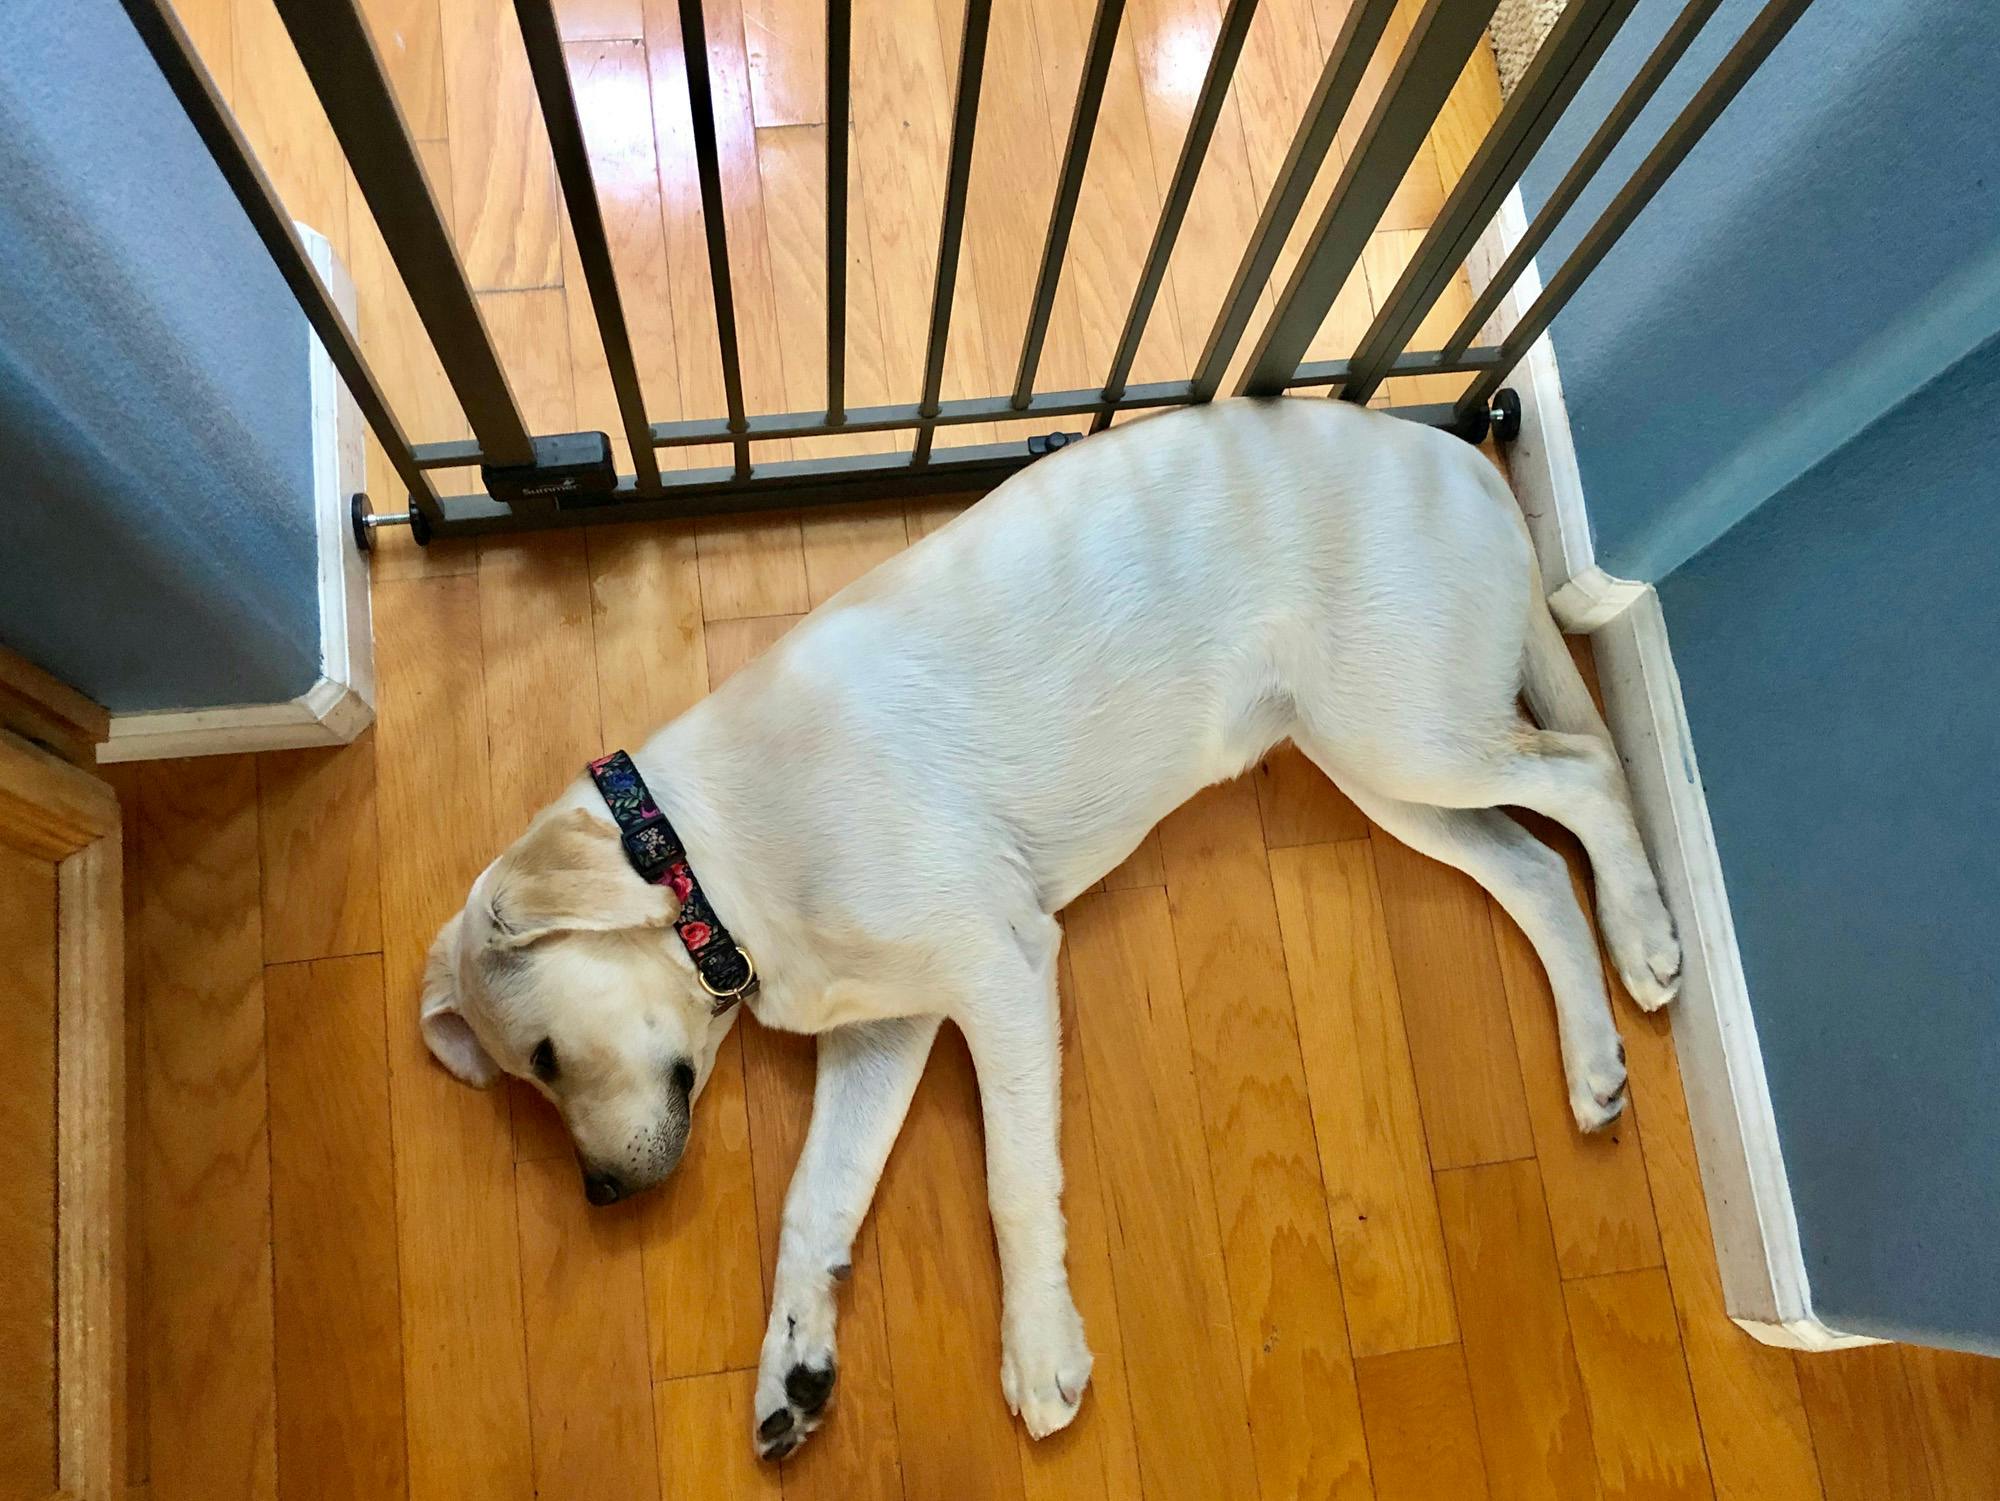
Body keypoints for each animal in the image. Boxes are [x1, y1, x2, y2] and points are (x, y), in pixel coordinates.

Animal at [418, 396, 1672, 1456]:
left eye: (543, 1056)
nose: (599, 1197)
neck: (700, 861)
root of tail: (1456, 453)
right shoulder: (885, 1031)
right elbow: (811, 1202)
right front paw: (794, 1365)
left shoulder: (1001, 972)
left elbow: (1012, 1183)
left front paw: (1036, 1347)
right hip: (1376, 763)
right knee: (1532, 868)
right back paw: (1594, 1058)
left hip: (1404, 731)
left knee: (1587, 771)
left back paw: (1646, 930)